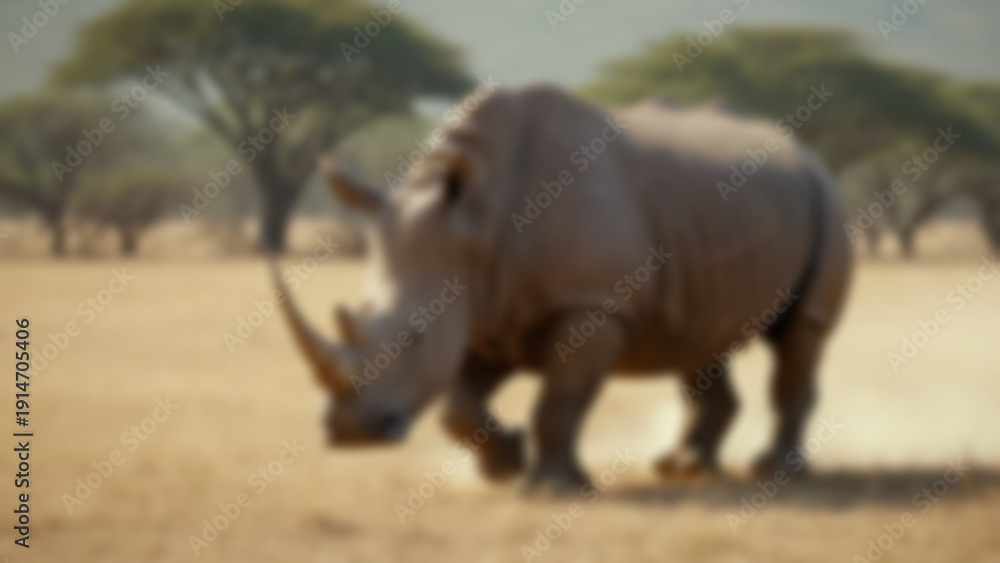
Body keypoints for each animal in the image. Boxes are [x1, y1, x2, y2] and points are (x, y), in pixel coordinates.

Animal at [273, 85, 853, 491]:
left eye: (414, 338)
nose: (352, 433)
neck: (476, 221)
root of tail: (803, 148)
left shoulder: (590, 304)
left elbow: (561, 398)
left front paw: (551, 488)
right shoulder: (486, 310)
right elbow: (455, 404)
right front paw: (505, 465)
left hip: (824, 197)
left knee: (802, 333)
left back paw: (774, 473)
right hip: (713, 215)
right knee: (700, 335)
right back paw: (684, 469)